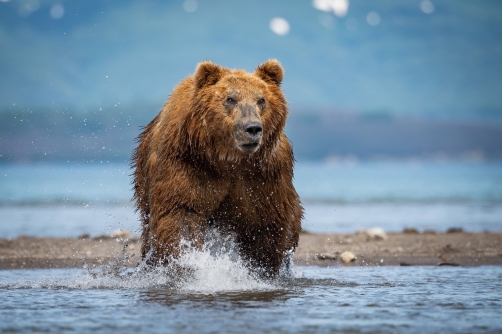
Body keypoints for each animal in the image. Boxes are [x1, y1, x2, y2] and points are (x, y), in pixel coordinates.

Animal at [132, 60, 302, 276]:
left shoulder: (264, 175)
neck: (228, 161)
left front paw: (259, 270)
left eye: (261, 99)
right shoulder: (186, 162)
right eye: (230, 99)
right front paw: (190, 262)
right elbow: (181, 212)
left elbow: (266, 224)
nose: (253, 128)